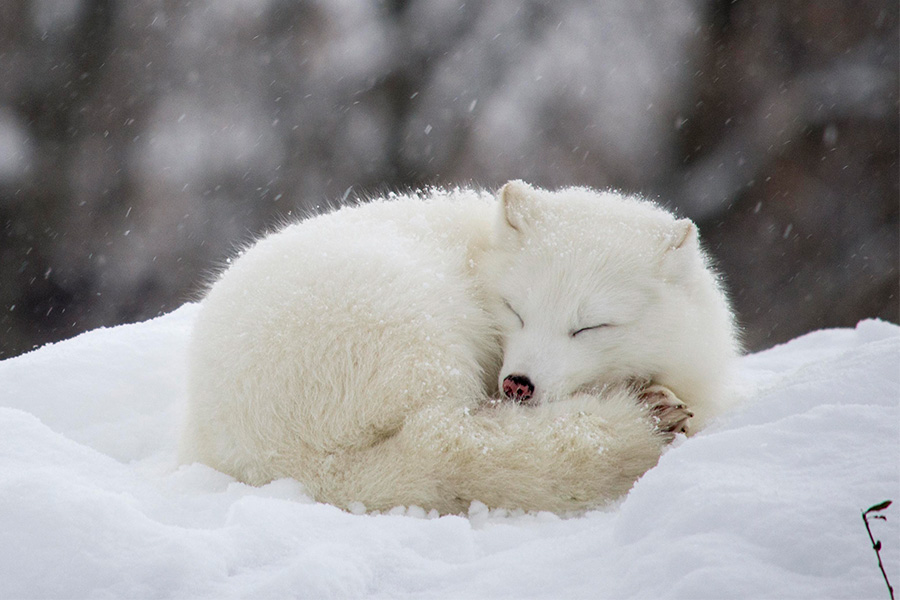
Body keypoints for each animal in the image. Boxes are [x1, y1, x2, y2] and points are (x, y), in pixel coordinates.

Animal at [180, 181, 740, 514]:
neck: (477, 254)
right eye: (515, 310)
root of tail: (292, 464)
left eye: (590, 327)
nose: (517, 385)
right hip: (423, 339)